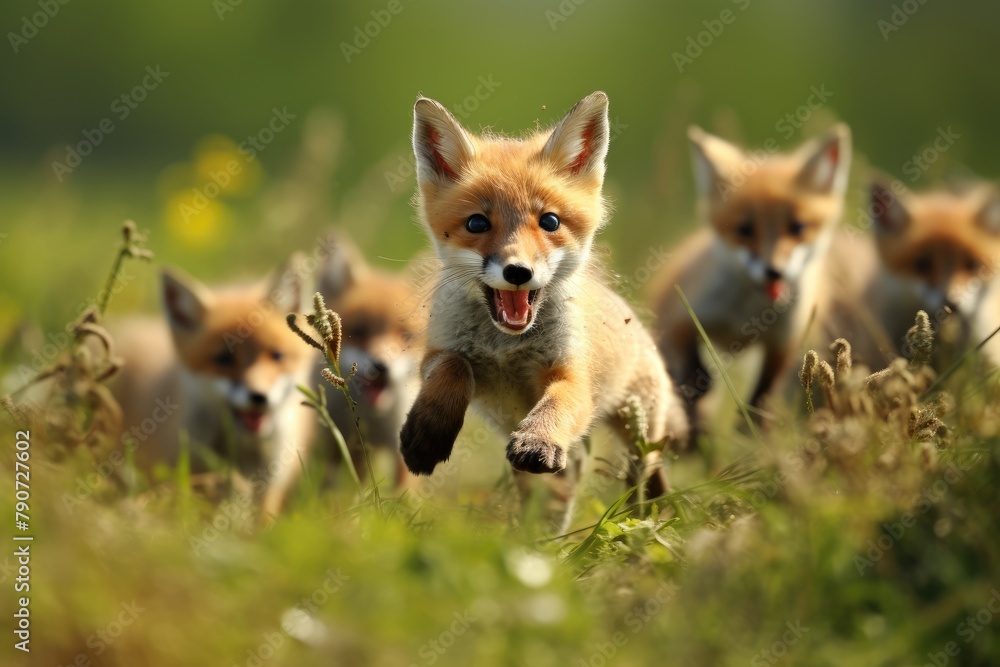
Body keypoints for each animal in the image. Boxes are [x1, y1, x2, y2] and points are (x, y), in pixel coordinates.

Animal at [315, 231, 425, 486]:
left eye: (406, 337)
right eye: (359, 331)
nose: (381, 366)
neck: (374, 420)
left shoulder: (402, 448)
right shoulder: (340, 442)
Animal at [399, 91, 688, 509]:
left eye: (549, 222)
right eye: (476, 223)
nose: (518, 272)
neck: (506, 346)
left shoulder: (572, 373)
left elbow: (558, 404)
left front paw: (538, 439)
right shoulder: (438, 352)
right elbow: (454, 368)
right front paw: (427, 438)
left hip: (639, 429)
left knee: (644, 470)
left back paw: (648, 515)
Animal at [651, 124, 852, 429]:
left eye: (797, 227)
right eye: (744, 230)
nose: (774, 270)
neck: (748, 315)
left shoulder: (784, 342)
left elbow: (763, 396)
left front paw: (752, 426)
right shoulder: (678, 318)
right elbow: (691, 366)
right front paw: (697, 386)